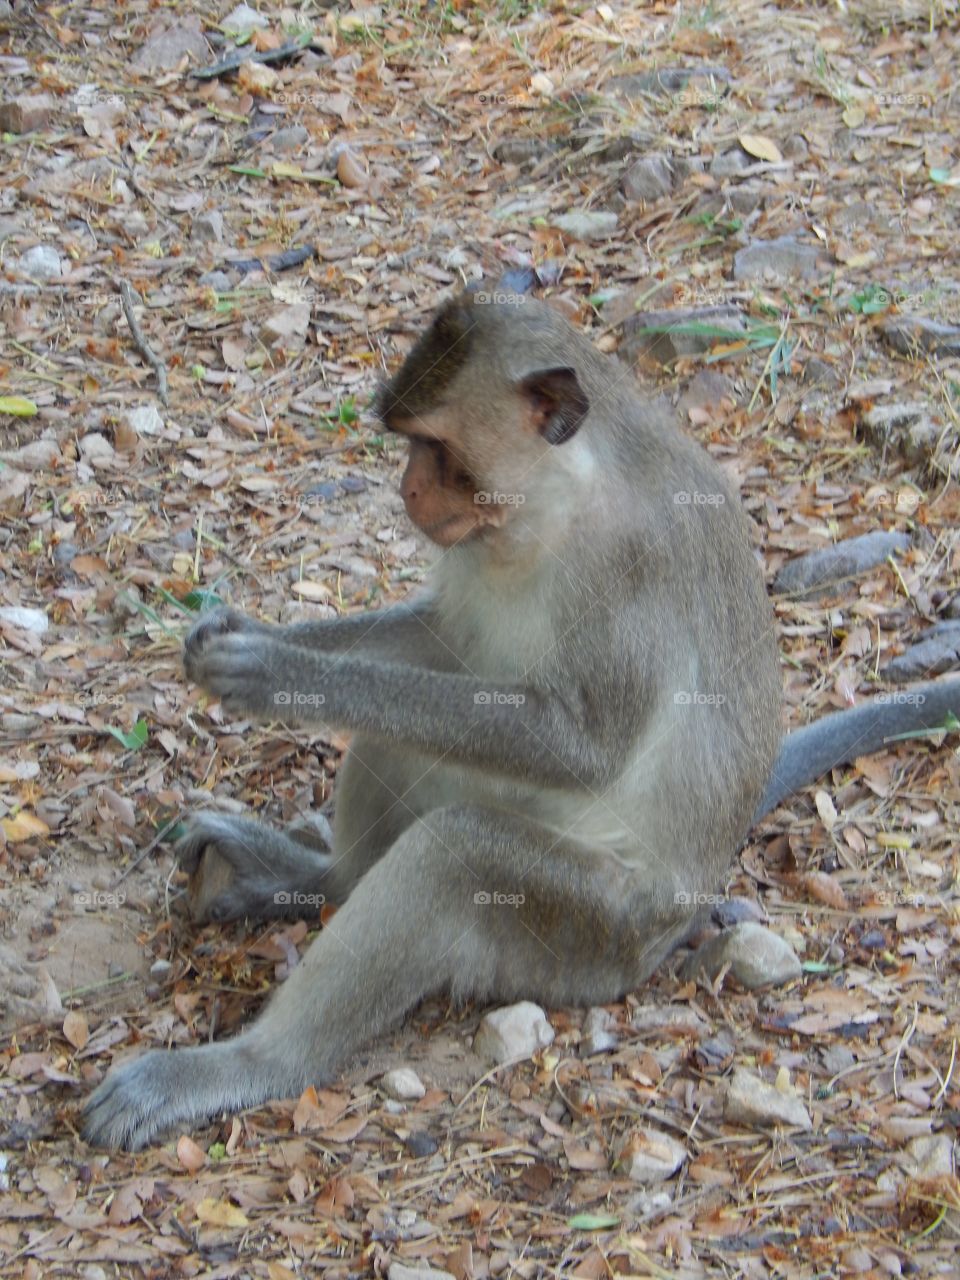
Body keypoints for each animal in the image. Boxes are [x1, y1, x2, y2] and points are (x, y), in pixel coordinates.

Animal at [82, 291, 960, 1149]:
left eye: (435, 447)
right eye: (407, 442)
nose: (407, 490)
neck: (556, 506)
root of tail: (681, 909)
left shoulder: (626, 568)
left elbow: (580, 748)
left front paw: (279, 674)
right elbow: (445, 642)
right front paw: (247, 635)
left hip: (590, 933)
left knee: (455, 852)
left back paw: (246, 1062)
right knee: (405, 740)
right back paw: (317, 879)